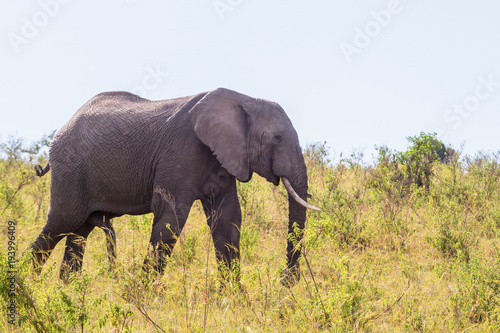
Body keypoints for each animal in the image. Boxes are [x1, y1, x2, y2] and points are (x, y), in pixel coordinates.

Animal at [30, 87, 320, 286]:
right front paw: (143, 295)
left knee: (79, 233)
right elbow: (172, 215)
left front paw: (234, 297)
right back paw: (28, 285)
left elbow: (227, 219)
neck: (244, 99)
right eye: (277, 138)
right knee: (61, 223)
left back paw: (67, 290)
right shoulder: (181, 151)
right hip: (70, 169)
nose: (285, 279)